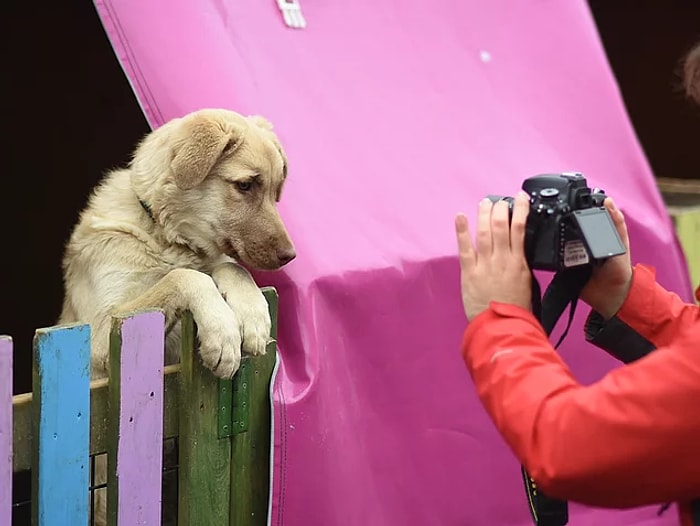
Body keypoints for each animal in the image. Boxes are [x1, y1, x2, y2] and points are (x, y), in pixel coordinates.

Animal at [56, 109, 292, 524]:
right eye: (246, 185)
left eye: (276, 191)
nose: (290, 256)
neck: (165, 235)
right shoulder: (101, 337)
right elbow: (186, 277)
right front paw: (222, 333)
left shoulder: (216, 262)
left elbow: (230, 268)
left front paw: (252, 315)